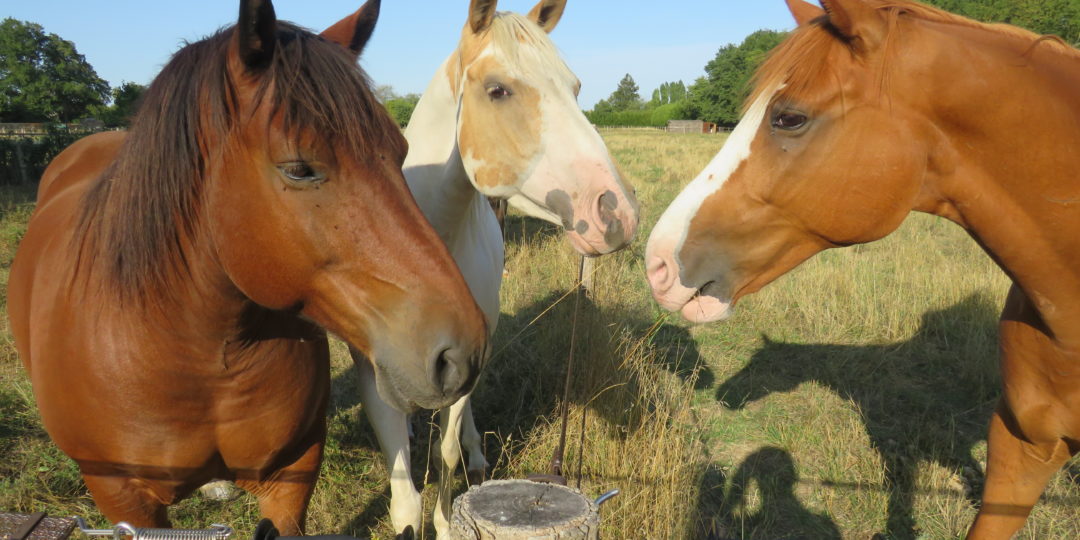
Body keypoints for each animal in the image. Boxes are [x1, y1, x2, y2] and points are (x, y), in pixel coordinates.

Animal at [345, 0, 635, 535]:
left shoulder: (465, 358)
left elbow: (446, 454)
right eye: (497, 90)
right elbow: (404, 496)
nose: (617, 212)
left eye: (575, 87)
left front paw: (445, 523)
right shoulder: (371, 372)